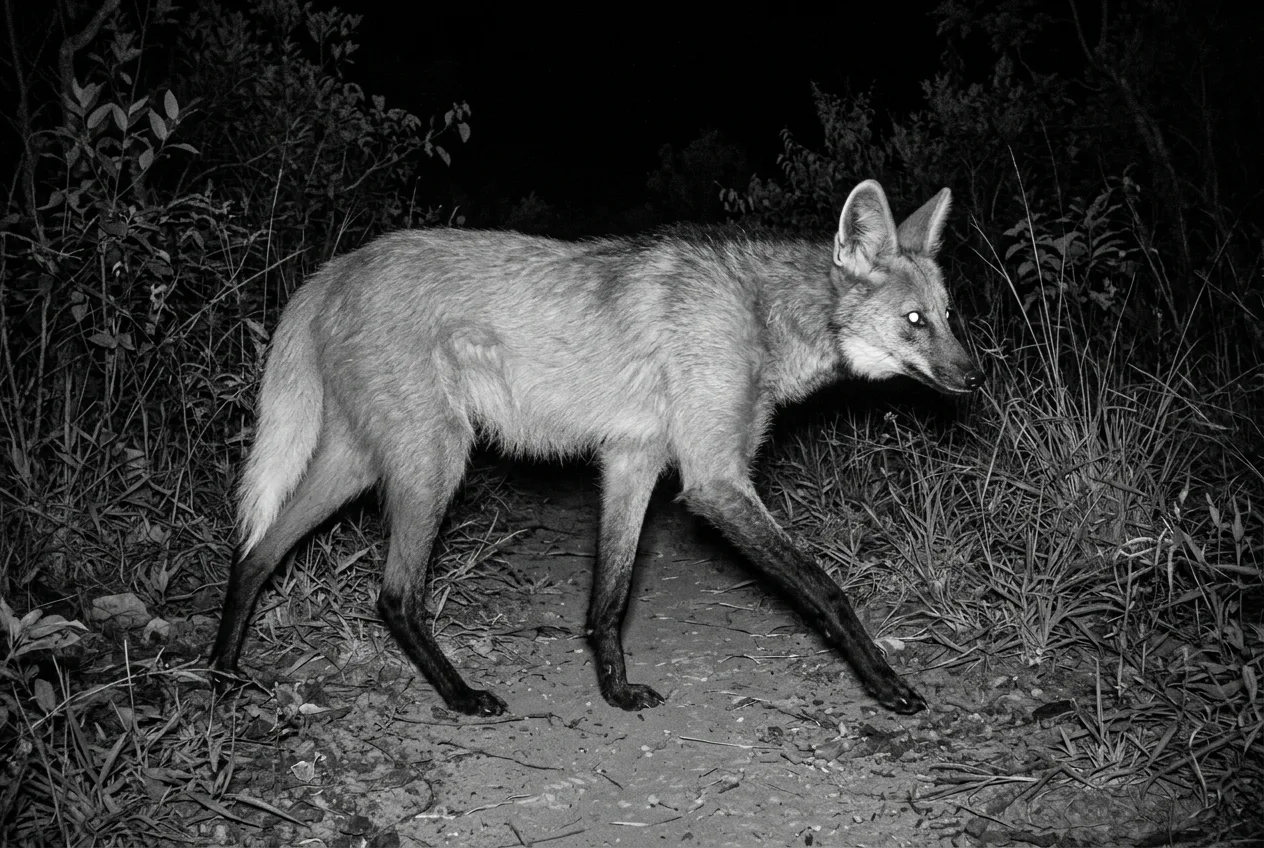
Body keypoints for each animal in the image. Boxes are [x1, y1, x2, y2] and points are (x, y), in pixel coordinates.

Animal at [209, 179, 982, 717]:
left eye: (949, 316)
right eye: (914, 321)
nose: (974, 377)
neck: (760, 315)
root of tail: (334, 268)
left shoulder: (633, 460)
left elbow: (607, 601)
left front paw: (614, 691)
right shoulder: (713, 479)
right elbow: (827, 590)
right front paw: (887, 684)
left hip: (362, 461)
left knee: (255, 553)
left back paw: (220, 677)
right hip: (436, 461)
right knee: (394, 596)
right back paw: (461, 697)